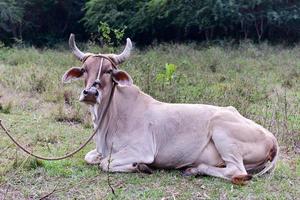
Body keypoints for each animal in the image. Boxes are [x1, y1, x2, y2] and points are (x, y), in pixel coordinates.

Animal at [61, 34, 278, 184]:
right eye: (85, 70)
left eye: (108, 70)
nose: (90, 93)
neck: (110, 118)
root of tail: (272, 139)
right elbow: (91, 157)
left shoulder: (142, 150)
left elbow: (105, 163)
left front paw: (141, 167)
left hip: (223, 132)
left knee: (236, 171)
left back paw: (194, 169)